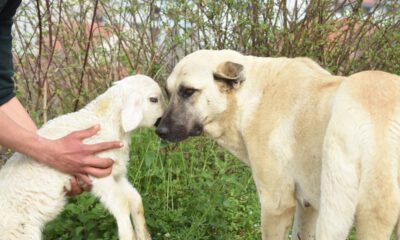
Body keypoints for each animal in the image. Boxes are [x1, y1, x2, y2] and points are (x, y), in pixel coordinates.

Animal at [0, 74, 164, 239]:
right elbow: (122, 203)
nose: (163, 122)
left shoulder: (116, 173)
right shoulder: (99, 173)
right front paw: (128, 235)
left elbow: (136, 200)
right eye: (154, 99)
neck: (104, 121)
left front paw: (143, 235)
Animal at [155, 49, 400, 239]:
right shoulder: (307, 206)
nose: (160, 130)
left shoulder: (276, 205)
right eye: (169, 91)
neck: (251, 98)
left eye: (188, 91)